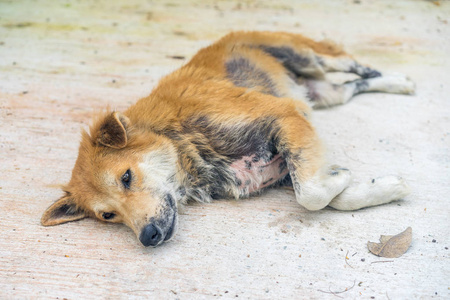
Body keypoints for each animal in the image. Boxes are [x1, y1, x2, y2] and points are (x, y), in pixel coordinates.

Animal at [40, 31, 414, 246]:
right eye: (108, 216)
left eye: (127, 177)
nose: (148, 237)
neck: (183, 141)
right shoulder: (280, 165)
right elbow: (322, 194)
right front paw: (383, 186)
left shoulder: (286, 115)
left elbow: (310, 194)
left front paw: (350, 178)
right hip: (324, 94)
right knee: (353, 86)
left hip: (309, 56)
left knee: (357, 66)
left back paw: (400, 79)